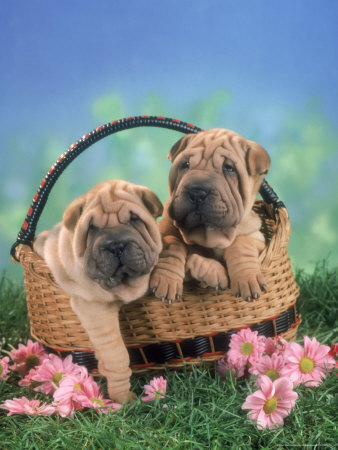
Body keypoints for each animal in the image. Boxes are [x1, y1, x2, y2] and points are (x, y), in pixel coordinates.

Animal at [34, 181, 162, 402]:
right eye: (92, 228)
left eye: (135, 220)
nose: (116, 245)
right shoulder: (96, 310)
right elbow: (116, 354)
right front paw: (123, 398)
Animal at [150, 128, 270, 304]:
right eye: (185, 164)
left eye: (229, 168)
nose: (196, 192)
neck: (208, 235)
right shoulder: (164, 230)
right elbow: (173, 244)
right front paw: (167, 278)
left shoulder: (257, 237)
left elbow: (241, 244)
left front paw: (246, 278)